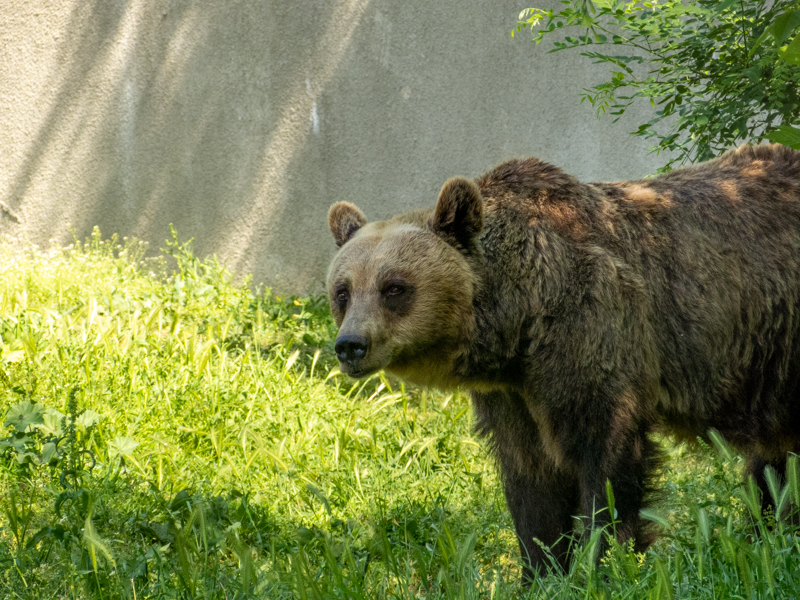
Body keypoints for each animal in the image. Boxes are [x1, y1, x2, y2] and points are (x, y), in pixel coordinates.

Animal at [325, 143, 800, 581]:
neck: (525, 317)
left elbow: (605, 458)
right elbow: (530, 475)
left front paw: (602, 562)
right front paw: (541, 569)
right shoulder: (512, 393)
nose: (350, 345)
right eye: (343, 291)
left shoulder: (595, 330)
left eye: (394, 287)